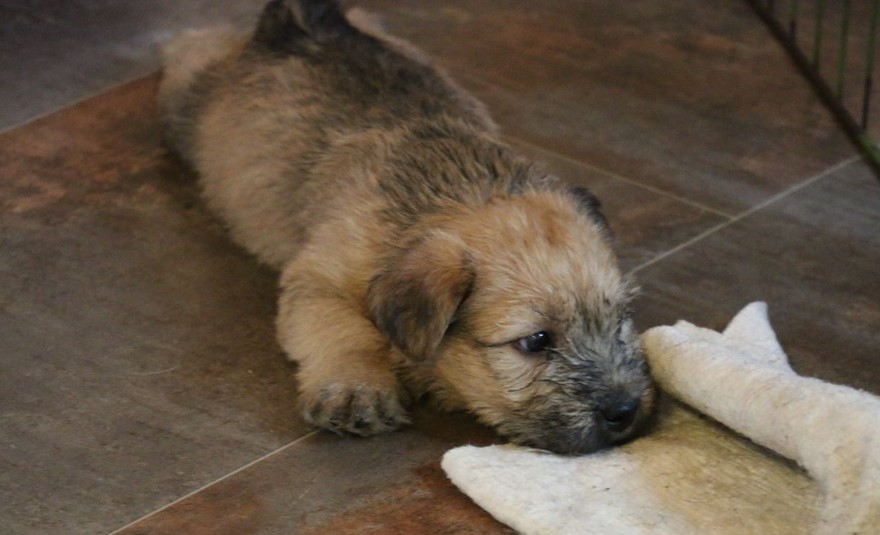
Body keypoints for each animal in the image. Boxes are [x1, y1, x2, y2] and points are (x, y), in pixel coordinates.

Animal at [156, 0, 652, 456]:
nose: (624, 410)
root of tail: (303, 22)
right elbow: (345, 330)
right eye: (536, 341)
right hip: (187, 105)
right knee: (191, 49)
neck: (459, 193)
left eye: (621, 319)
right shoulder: (318, 280)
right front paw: (356, 388)